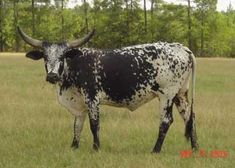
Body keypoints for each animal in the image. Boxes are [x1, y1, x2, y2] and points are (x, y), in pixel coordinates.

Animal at [17, 26, 198, 154]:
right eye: (45, 57)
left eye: (62, 57)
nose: (52, 76)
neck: (76, 65)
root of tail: (183, 48)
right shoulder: (79, 104)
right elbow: (77, 125)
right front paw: (74, 147)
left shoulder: (92, 99)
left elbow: (94, 124)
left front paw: (96, 148)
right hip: (181, 94)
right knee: (189, 117)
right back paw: (195, 148)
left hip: (167, 95)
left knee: (166, 121)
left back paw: (155, 150)